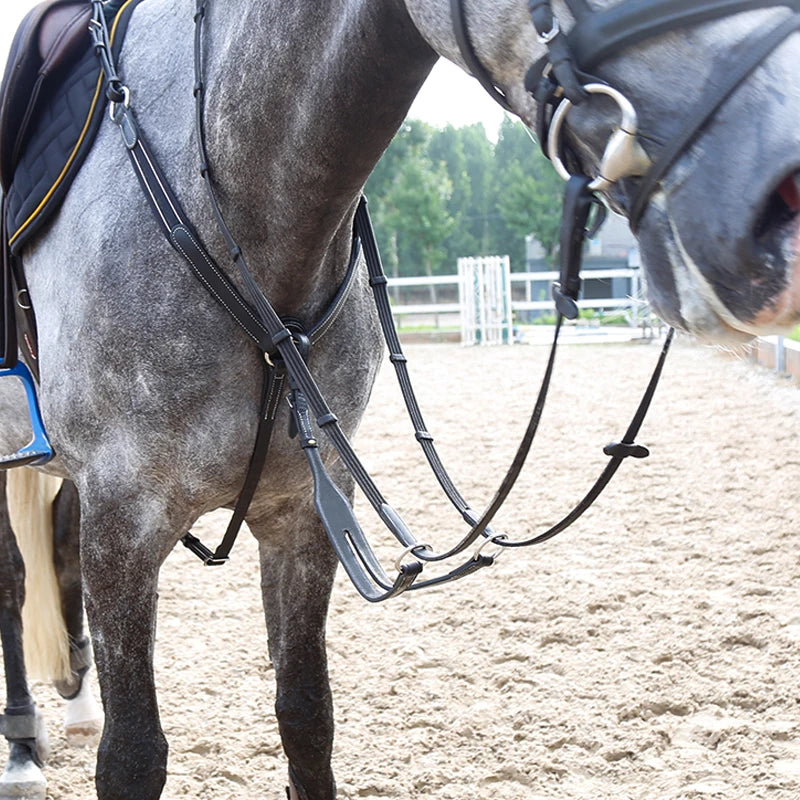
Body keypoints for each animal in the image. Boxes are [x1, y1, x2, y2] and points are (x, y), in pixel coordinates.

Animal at [0, 0, 798, 798]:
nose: (775, 195)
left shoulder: (301, 515)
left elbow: (306, 716)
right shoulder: (126, 518)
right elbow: (135, 755)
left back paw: (75, 703)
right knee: (14, 583)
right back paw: (23, 747)